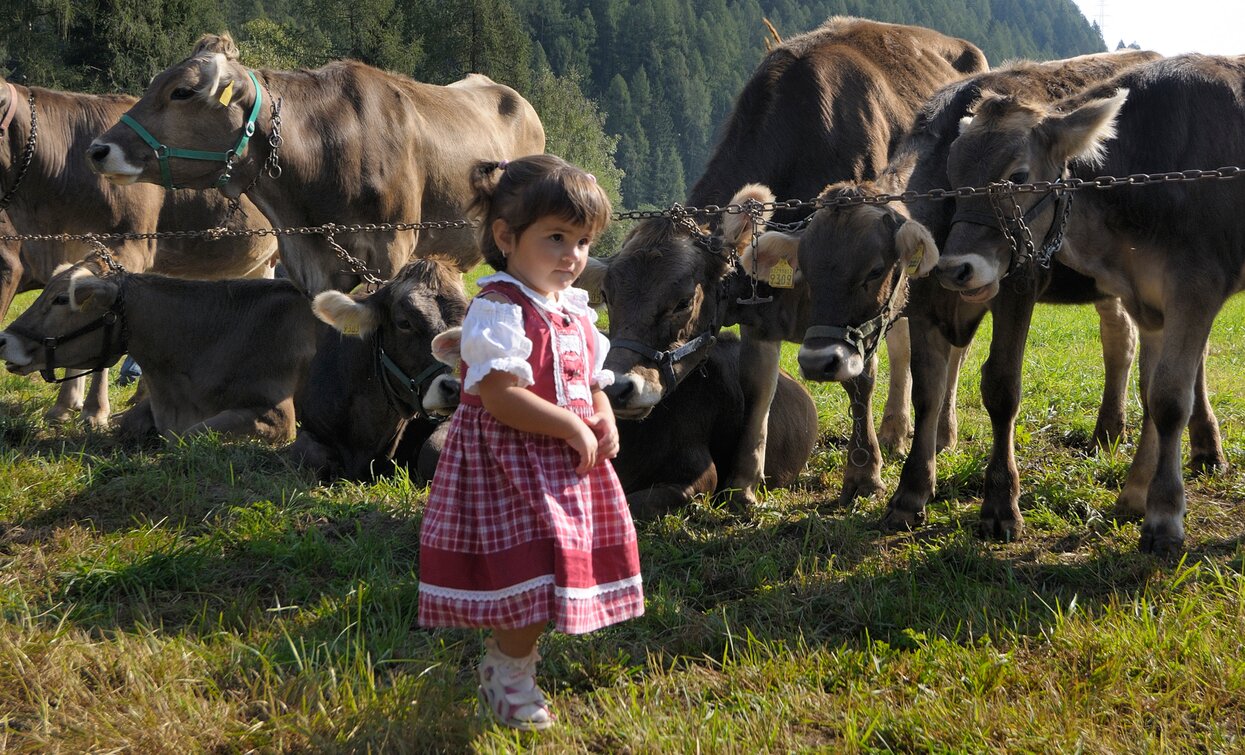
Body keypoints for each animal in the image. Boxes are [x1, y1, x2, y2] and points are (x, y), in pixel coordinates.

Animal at [587, 17, 986, 510]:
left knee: (953, 350)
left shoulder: (861, 298)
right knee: (903, 346)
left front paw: (863, 476)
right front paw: (743, 484)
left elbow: (861, 379)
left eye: (681, 302)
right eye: (609, 297)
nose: (618, 387)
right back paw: (895, 431)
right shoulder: (760, 311)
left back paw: (942, 433)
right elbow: (759, 386)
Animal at [936, 53, 1245, 555]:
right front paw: (1135, 495)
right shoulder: (1147, 299)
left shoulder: (1196, 286)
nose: (954, 269)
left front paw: (1164, 517)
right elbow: (1151, 393)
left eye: (1018, 177)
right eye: (952, 177)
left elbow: (1169, 399)